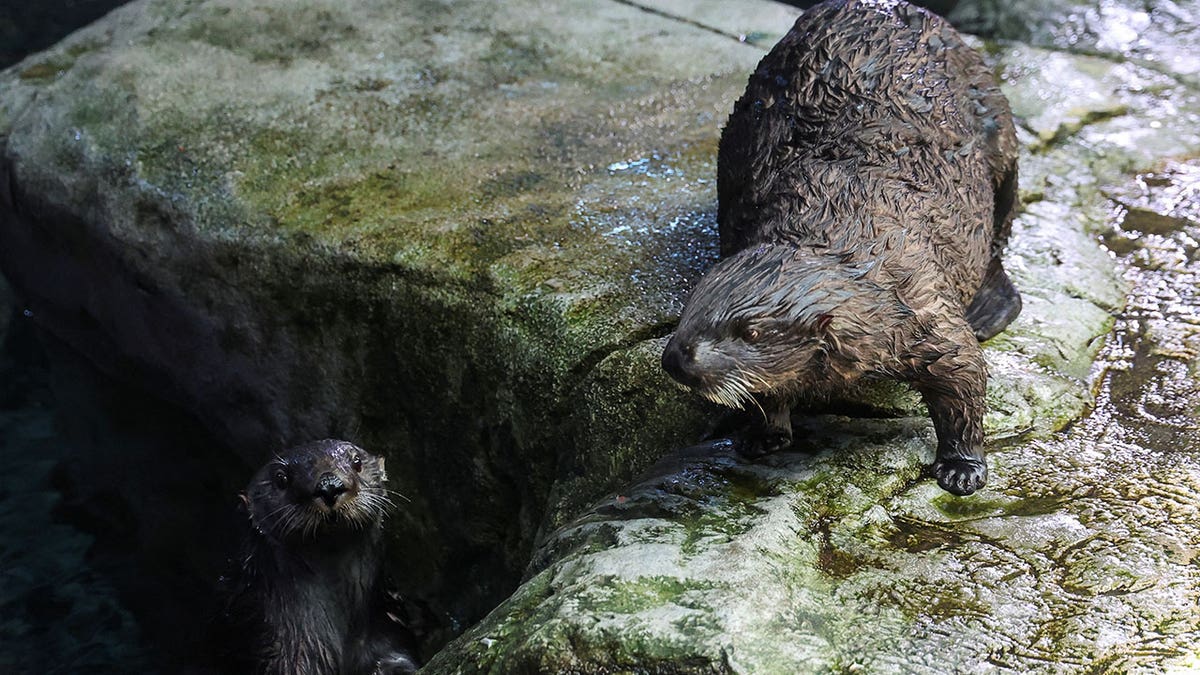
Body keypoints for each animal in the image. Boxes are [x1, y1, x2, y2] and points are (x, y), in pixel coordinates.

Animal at [662, 0, 1017, 494]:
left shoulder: (924, 306)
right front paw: (762, 435)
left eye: (751, 332)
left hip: (999, 130)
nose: (674, 358)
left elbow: (964, 380)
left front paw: (962, 469)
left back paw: (987, 310)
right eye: (689, 309)